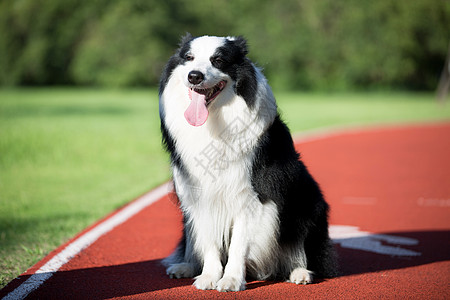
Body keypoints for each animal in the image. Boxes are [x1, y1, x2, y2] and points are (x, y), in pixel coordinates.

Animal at [159, 34, 338, 292]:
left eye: (218, 60)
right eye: (189, 58)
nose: (194, 76)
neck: (215, 121)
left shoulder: (251, 197)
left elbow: (238, 245)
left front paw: (231, 279)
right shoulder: (200, 196)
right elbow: (209, 242)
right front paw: (210, 276)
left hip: (308, 203)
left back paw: (300, 272)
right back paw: (186, 266)